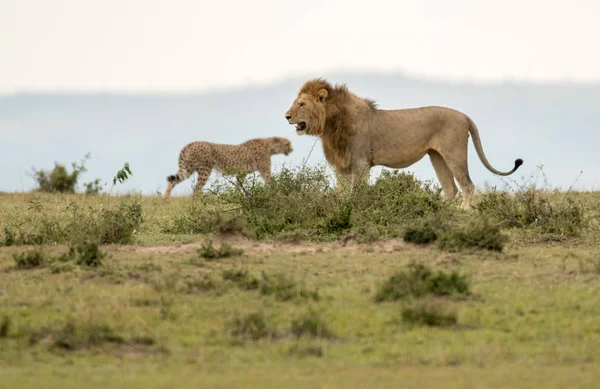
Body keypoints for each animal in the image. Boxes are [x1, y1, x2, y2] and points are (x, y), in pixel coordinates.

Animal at [163, 136, 294, 197]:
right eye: (287, 143)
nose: (292, 149)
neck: (269, 146)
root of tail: (190, 144)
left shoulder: (242, 173)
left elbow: (238, 186)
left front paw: (237, 197)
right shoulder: (265, 171)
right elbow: (271, 182)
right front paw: (278, 193)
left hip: (188, 169)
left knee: (173, 180)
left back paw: (165, 200)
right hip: (205, 170)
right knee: (196, 189)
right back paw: (198, 204)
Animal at [284, 77, 524, 208]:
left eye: (301, 104)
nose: (286, 116)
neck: (331, 125)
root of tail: (465, 116)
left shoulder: (361, 162)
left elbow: (357, 192)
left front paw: (354, 209)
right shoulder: (341, 166)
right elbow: (341, 192)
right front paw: (340, 208)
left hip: (454, 153)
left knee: (467, 185)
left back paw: (462, 212)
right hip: (437, 156)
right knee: (450, 189)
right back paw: (435, 210)